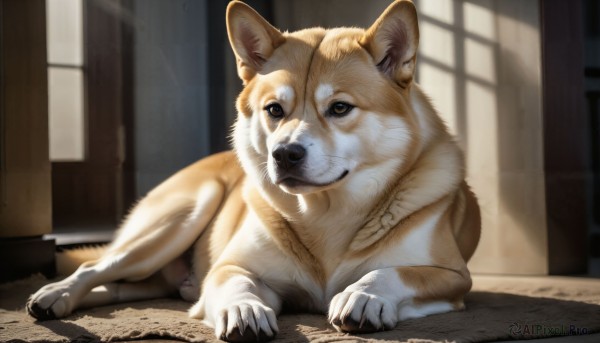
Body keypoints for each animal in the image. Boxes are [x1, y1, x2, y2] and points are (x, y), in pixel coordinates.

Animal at [28, 1, 480, 342]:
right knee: (96, 267)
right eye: (274, 110)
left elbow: (394, 272)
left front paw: (365, 296)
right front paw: (244, 309)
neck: (325, 215)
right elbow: (236, 282)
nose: (285, 154)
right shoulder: (230, 267)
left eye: (339, 108)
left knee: (123, 286)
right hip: (175, 222)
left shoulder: (456, 277)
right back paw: (53, 296)